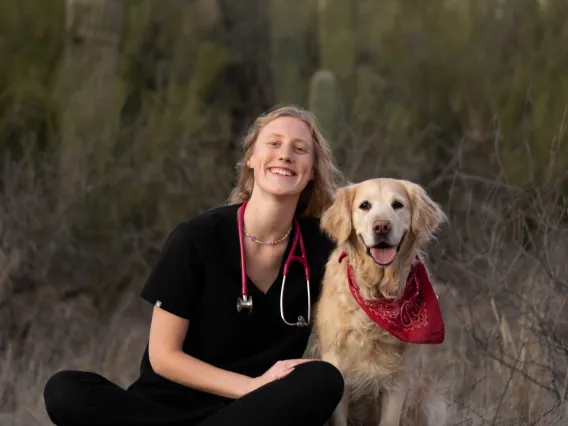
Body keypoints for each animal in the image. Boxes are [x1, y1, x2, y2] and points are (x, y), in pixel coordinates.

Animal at [316, 177, 448, 426]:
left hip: (429, 406)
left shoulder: (398, 379)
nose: (382, 227)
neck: (377, 295)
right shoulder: (338, 366)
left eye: (397, 205)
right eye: (364, 205)